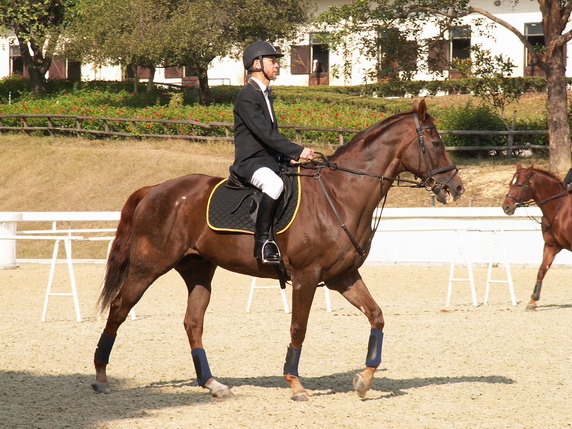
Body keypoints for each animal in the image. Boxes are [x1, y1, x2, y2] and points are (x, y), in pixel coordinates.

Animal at [90, 98, 464, 400]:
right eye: (435, 141)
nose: (456, 187)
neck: (340, 194)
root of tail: (155, 189)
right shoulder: (306, 277)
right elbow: (299, 328)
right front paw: (295, 384)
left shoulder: (343, 276)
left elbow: (377, 316)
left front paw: (364, 380)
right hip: (148, 266)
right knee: (120, 309)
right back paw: (101, 376)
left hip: (198, 269)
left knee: (193, 323)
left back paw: (213, 384)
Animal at [502, 163, 568, 308]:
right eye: (510, 183)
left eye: (520, 185)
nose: (506, 207)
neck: (559, 210)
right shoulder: (551, 246)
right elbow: (542, 270)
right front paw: (532, 301)